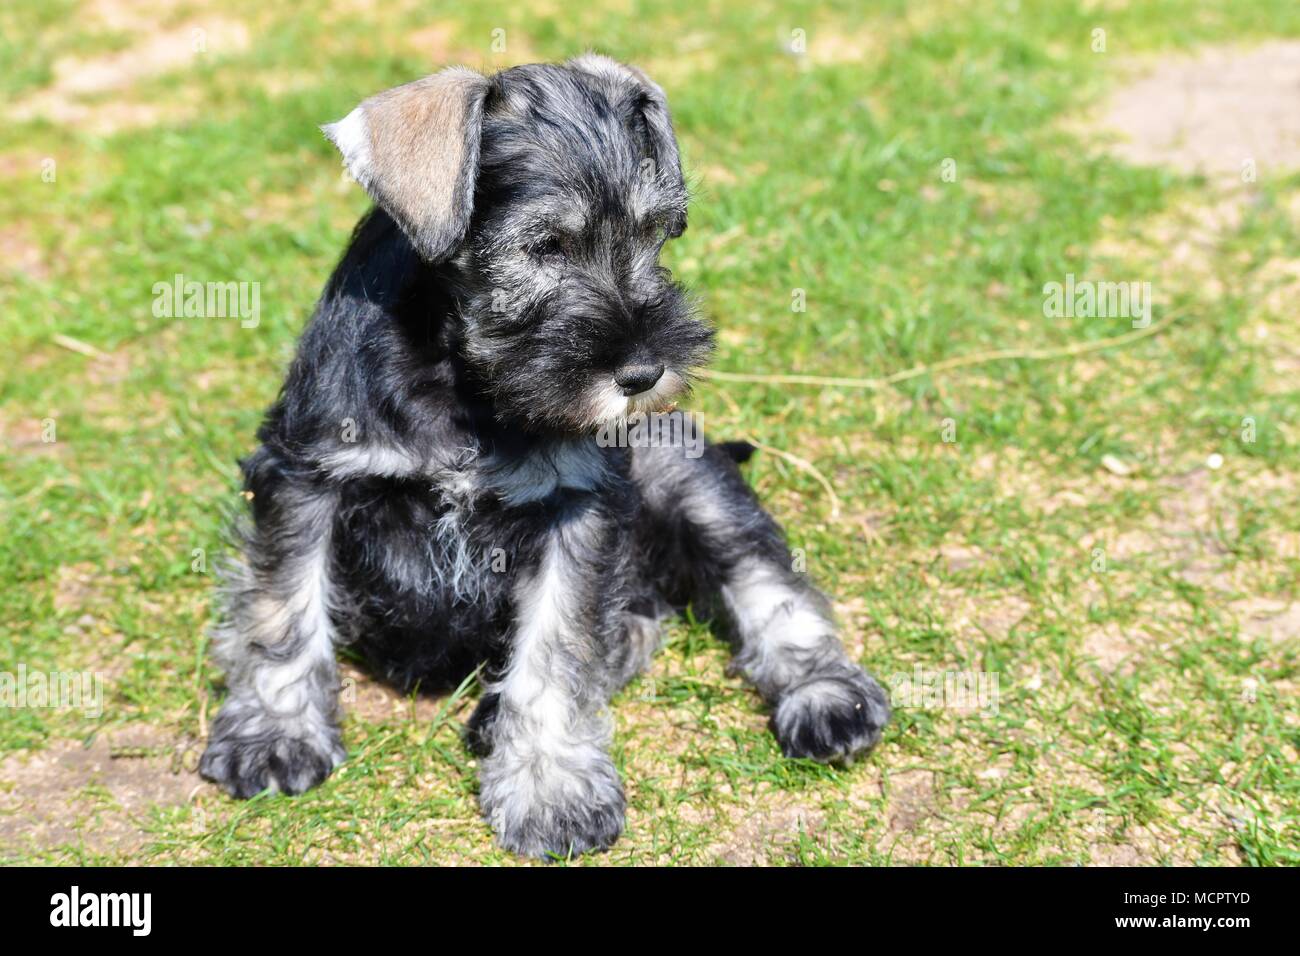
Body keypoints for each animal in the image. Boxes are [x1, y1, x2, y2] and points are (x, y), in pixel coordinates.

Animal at [200, 52, 894, 858]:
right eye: (543, 247)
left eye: (655, 235)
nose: (643, 373)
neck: (461, 382)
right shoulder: (304, 475)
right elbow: (282, 609)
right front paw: (274, 734)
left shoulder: (578, 510)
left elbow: (557, 651)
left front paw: (551, 789)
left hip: (686, 474)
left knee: (766, 585)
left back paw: (827, 698)